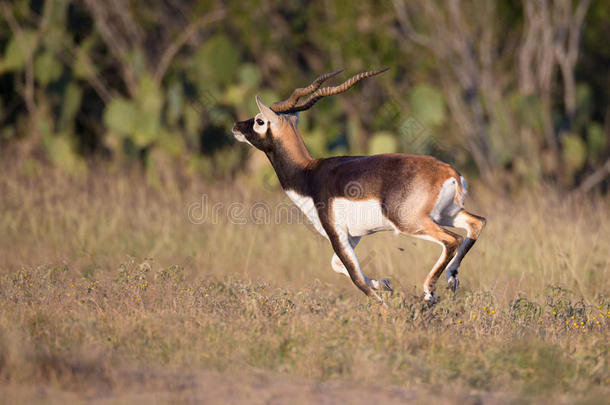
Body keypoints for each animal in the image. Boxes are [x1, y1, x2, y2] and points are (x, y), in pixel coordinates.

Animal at [229, 68, 484, 306]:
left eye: (259, 120)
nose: (236, 126)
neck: (308, 173)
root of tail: (449, 173)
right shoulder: (355, 235)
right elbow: (337, 265)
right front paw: (384, 283)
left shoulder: (336, 232)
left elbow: (356, 277)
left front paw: (385, 309)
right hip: (446, 214)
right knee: (477, 222)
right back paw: (452, 278)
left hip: (409, 222)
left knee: (452, 240)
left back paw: (429, 291)